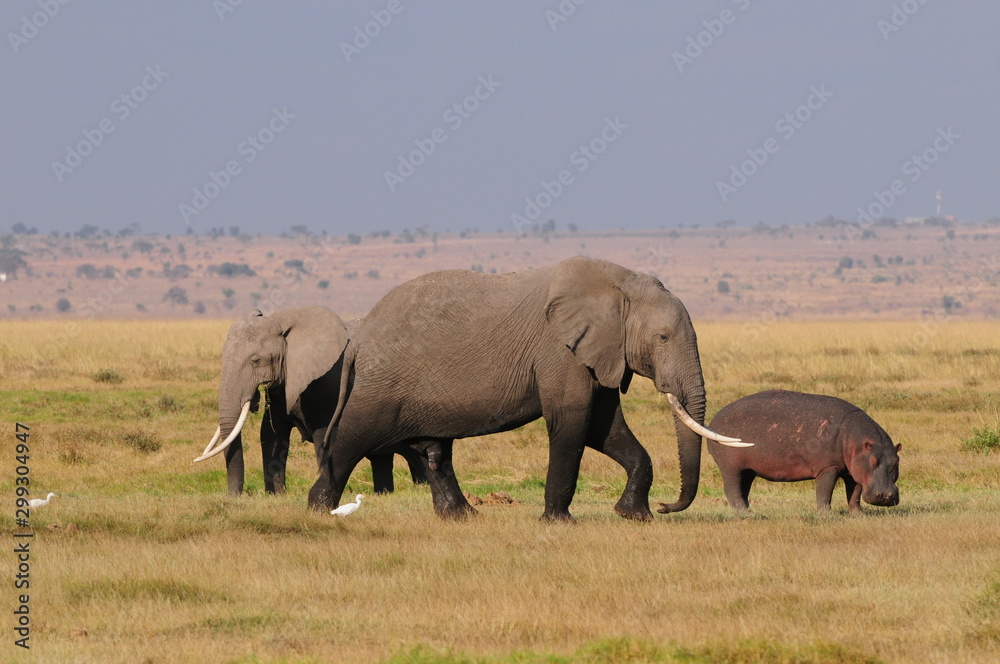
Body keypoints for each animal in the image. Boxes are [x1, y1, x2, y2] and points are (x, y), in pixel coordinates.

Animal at [193, 306, 426, 495]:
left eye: (256, 360)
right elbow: (271, 434)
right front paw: (277, 496)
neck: (283, 324)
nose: (233, 496)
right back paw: (386, 494)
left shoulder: (329, 381)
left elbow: (325, 435)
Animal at [310, 257, 745, 520]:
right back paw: (319, 509)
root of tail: (359, 338)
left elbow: (605, 428)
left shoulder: (596, 353)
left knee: (433, 449)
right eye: (662, 338)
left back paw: (464, 518)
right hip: (380, 386)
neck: (617, 283)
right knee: (351, 439)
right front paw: (559, 522)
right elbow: (573, 423)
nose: (667, 505)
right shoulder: (558, 351)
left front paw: (634, 516)